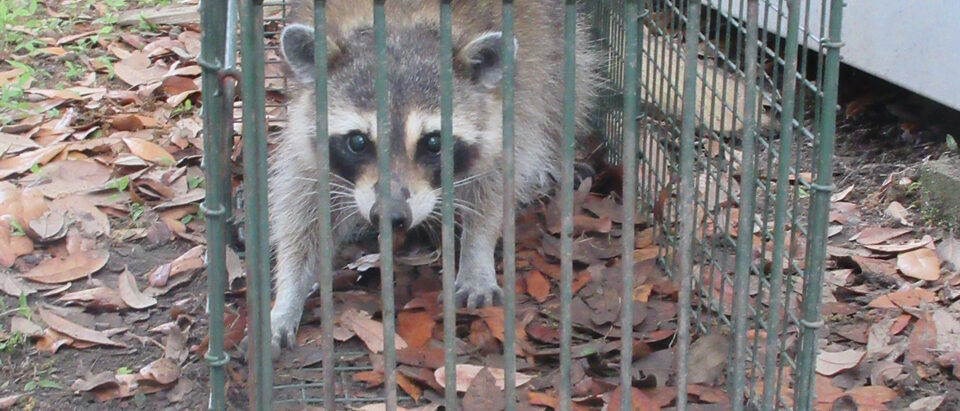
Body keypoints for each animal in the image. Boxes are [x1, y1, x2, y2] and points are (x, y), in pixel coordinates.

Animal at [268, 0, 601, 355]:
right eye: (357, 142)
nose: (391, 215)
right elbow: (303, 208)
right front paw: (288, 291)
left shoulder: (509, 105)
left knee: (566, 83)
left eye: (432, 143)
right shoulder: (308, 135)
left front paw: (476, 252)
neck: (402, 25)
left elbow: (495, 185)